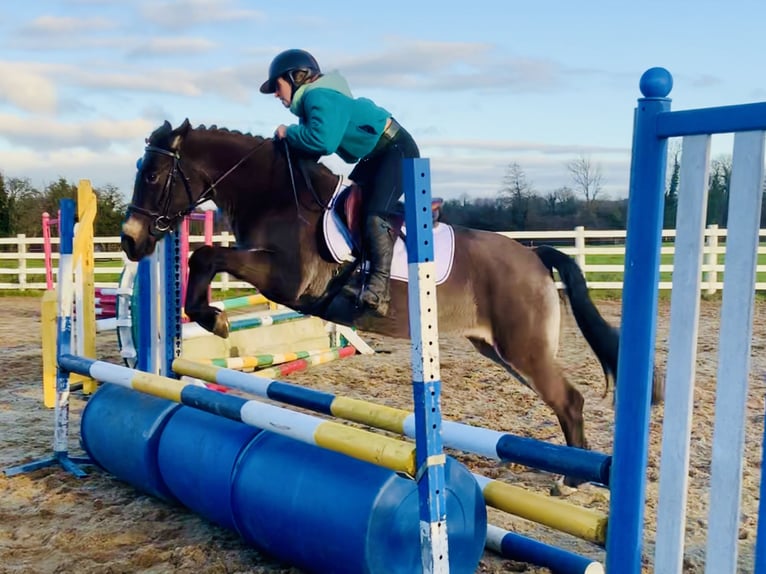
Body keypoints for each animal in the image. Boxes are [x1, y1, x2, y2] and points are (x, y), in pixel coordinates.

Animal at [121, 119, 664, 488]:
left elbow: (207, 254)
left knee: (569, 399)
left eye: (154, 176)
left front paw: (212, 319)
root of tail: (533, 255)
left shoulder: (287, 281)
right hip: (499, 350)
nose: (130, 241)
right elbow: (205, 257)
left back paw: (573, 480)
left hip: (523, 349)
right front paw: (209, 317)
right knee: (562, 399)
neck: (276, 194)